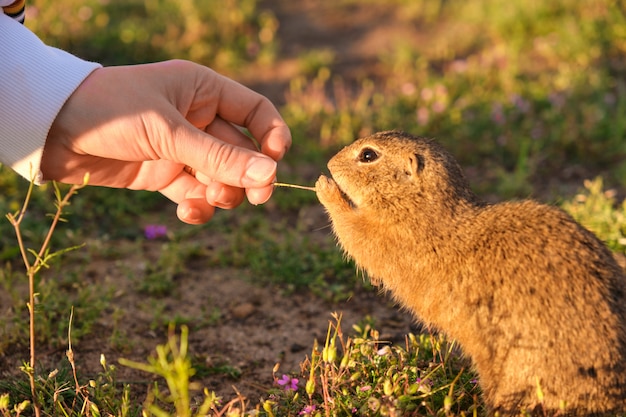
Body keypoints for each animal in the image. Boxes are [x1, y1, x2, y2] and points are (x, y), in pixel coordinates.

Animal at [314, 129, 624, 412]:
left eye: (368, 155)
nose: (329, 163)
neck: (418, 204)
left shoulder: (390, 239)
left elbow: (355, 232)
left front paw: (324, 187)